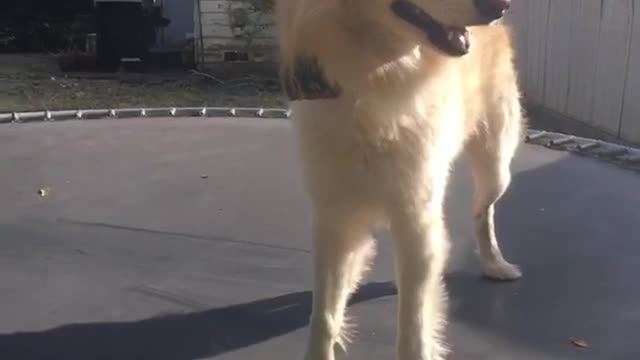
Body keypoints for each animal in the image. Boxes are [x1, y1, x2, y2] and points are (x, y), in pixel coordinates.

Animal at [274, 0, 520, 360]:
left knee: (482, 211)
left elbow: (413, 328)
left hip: (496, 168)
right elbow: (324, 316)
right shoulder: (333, 219)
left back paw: (494, 264)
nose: (502, 7)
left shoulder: (416, 212)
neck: (378, 73)